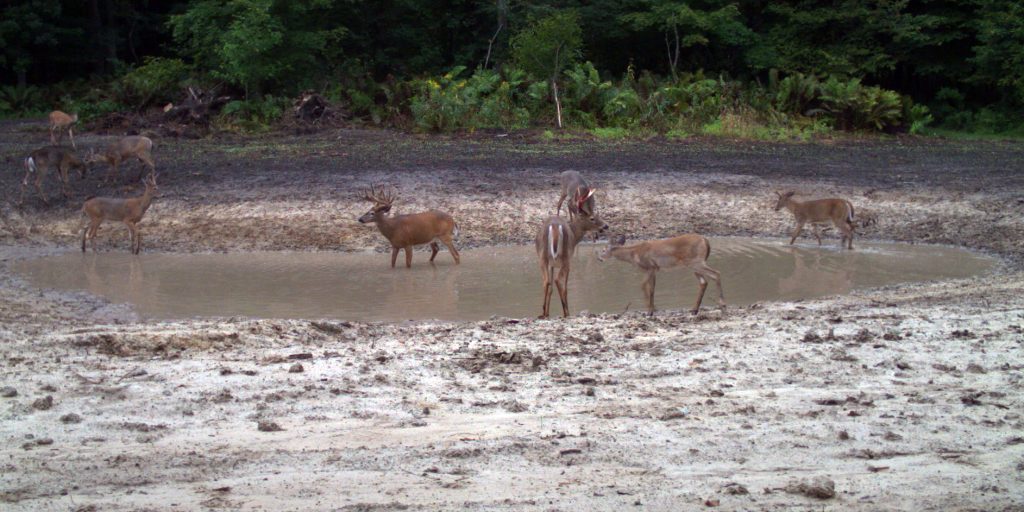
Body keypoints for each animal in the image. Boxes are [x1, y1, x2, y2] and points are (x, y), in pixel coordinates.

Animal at [598, 233, 733, 315]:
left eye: (603, 250)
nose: (599, 259)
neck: (634, 254)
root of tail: (705, 240)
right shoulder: (655, 269)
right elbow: (652, 289)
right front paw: (653, 309)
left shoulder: (649, 267)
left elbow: (642, 285)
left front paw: (649, 310)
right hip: (694, 264)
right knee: (704, 281)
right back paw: (694, 309)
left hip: (696, 262)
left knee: (716, 273)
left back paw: (722, 304)